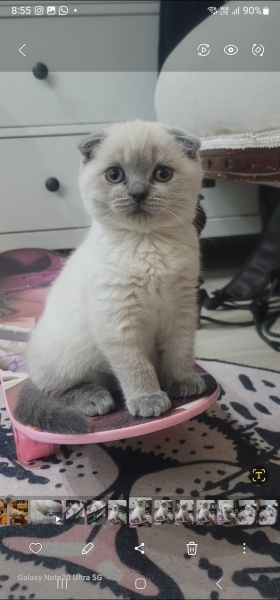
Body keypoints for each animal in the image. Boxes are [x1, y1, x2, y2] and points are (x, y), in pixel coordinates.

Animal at [14, 119, 205, 434]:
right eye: (115, 175)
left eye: (162, 174)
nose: (138, 193)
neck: (147, 244)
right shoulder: (117, 320)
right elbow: (136, 367)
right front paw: (149, 400)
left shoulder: (182, 308)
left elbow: (179, 352)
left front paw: (181, 382)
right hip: (67, 359)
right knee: (58, 390)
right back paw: (97, 400)